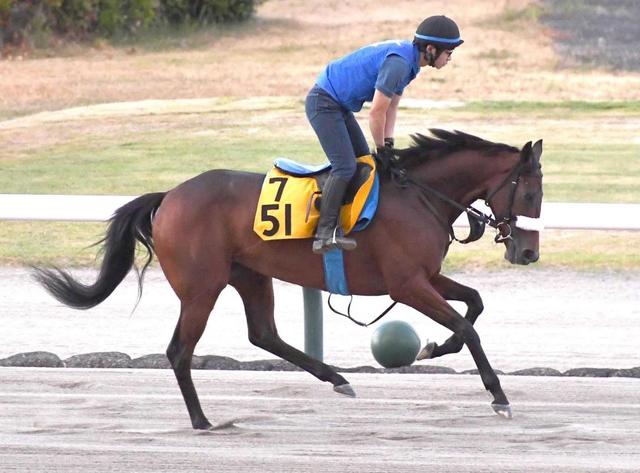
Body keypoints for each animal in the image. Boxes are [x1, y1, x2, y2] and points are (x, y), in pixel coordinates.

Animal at [32, 129, 544, 428]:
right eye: (531, 194)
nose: (528, 251)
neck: (419, 196)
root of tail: (171, 195)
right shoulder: (406, 284)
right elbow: (467, 326)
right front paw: (498, 395)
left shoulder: (425, 276)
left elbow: (474, 304)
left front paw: (433, 348)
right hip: (201, 287)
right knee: (180, 350)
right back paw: (202, 420)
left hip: (250, 275)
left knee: (263, 334)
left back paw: (336, 378)